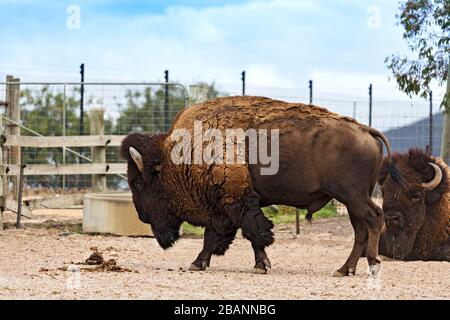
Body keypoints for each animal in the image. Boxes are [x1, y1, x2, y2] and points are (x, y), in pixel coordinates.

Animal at [120, 95, 400, 276]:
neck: (180, 155)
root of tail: (367, 130)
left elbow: (247, 232)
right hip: (351, 199)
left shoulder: (234, 203)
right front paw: (257, 265)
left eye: (138, 181)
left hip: (352, 196)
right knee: (360, 229)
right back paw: (344, 269)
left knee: (374, 218)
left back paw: (372, 264)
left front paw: (199, 263)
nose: (142, 216)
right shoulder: (230, 206)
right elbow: (235, 235)